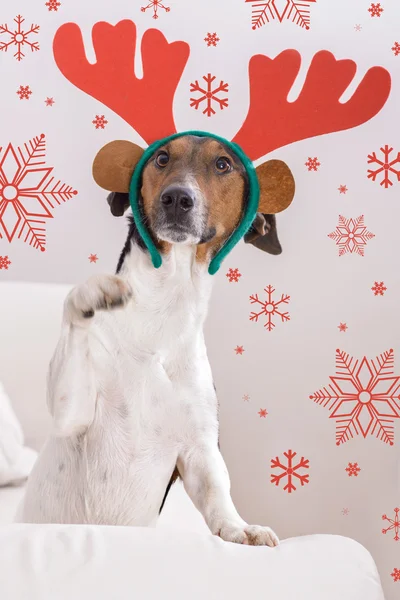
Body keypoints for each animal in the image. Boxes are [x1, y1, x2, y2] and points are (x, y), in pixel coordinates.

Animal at [21, 136, 288, 548]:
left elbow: (217, 493)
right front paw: (93, 292)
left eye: (223, 164)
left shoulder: (200, 449)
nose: (177, 198)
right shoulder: (71, 411)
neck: (163, 315)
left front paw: (240, 527)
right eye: (162, 158)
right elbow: (76, 304)